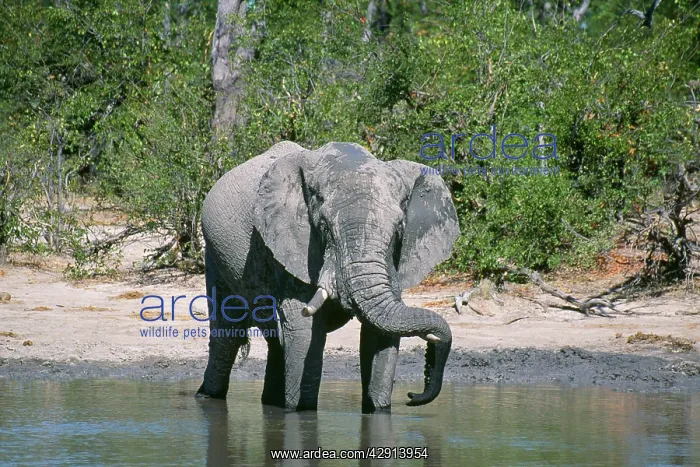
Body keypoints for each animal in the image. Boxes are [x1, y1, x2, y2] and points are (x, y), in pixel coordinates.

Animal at [195, 140, 460, 413]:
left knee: (274, 340)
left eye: (399, 230)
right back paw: (207, 397)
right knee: (228, 333)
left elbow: (380, 334)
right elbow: (304, 330)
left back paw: (271, 403)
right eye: (324, 227)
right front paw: (301, 412)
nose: (411, 396)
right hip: (215, 256)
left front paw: (377, 410)